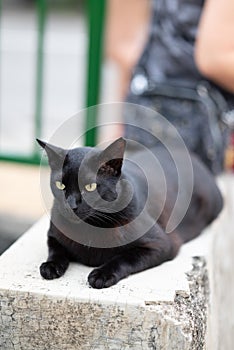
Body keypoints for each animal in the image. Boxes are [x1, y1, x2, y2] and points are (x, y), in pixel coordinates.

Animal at [37, 138, 223, 288]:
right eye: (60, 185)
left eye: (90, 187)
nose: (71, 205)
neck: (90, 227)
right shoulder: (53, 235)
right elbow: (56, 250)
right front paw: (51, 266)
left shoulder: (162, 244)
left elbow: (124, 258)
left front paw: (102, 274)